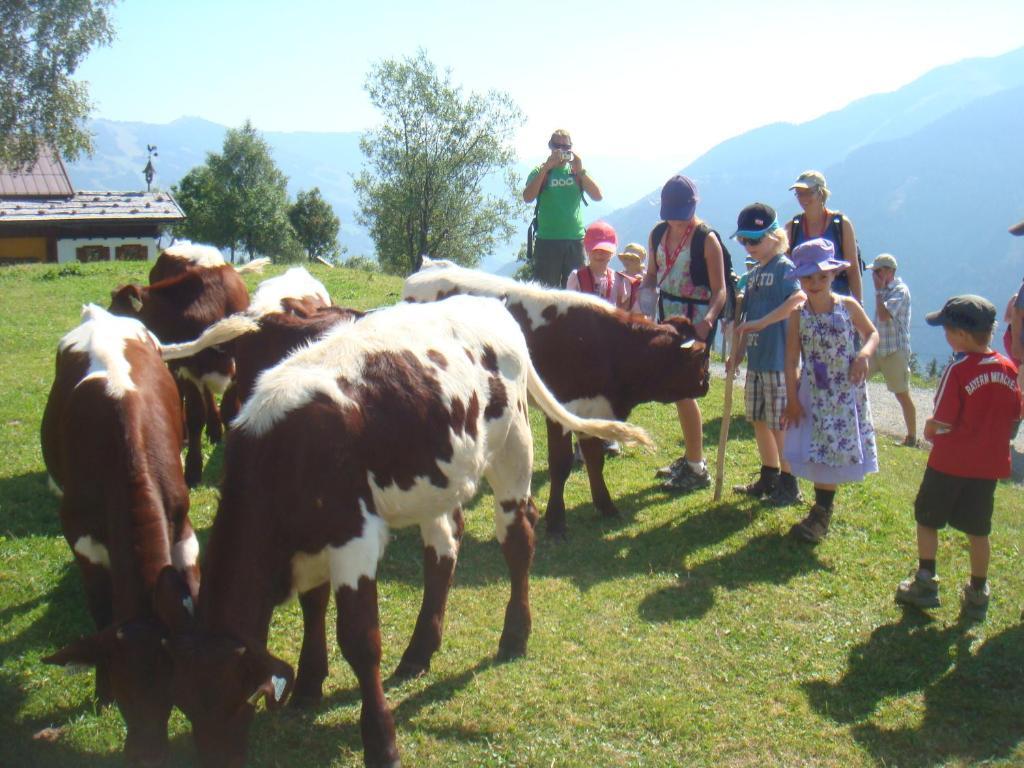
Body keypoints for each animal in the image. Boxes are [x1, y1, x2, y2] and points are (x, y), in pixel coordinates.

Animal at [39, 303, 200, 765]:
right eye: (127, 698)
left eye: (172, 695)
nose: (148, 752)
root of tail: (100, 315)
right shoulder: (82, 538)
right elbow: (102, 615)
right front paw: (101, 690)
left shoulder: (182, 527)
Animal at [110, 260, 251, 487]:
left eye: (118, 313)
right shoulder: (186, 370)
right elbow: (195, 415)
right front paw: (193, 469)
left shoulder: (235, 372)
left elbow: (230, 412)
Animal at [158, 296, 647, 768]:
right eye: (183, 702)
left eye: (231, 700)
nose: (216, 759)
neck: (284, 454)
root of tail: (489, 304)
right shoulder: (315, 542)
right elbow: (314, 607)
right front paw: (310, 684)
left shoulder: (352, 538)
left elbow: (360, 641)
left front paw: (381, 743)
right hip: (438, 479)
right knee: (443, 551)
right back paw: (419, 651)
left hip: (513, 449)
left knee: (518, 542)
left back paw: (514, 635)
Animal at [401, 259, 712, 536]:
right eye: (701, 358)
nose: (707, 382)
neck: (608, 347)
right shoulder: (562, 410)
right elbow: (560, 465)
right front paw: (556, 520)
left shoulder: (592, 409)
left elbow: (595, 460)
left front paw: (606, 505)